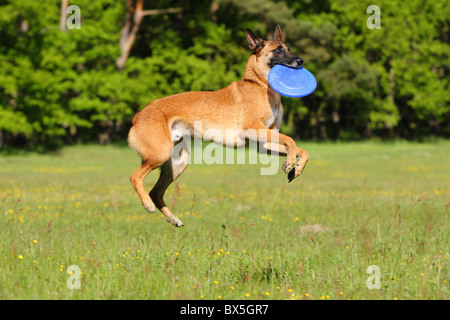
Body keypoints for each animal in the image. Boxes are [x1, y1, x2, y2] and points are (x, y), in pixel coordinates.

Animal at [128, 25, 308, 226]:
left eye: (289, 48)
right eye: (278, 50)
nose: (300, 61)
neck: (259, 85)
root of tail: (138, 116)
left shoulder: (264, 144)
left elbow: (302, 150)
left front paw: (296, 169)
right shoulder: (253, 128)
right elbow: (291, 140)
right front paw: (290, 162)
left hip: (178, 162)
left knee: (156, 192)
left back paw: (174, 219)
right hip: (160, 154)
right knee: (135, 178)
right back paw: (147, 204)